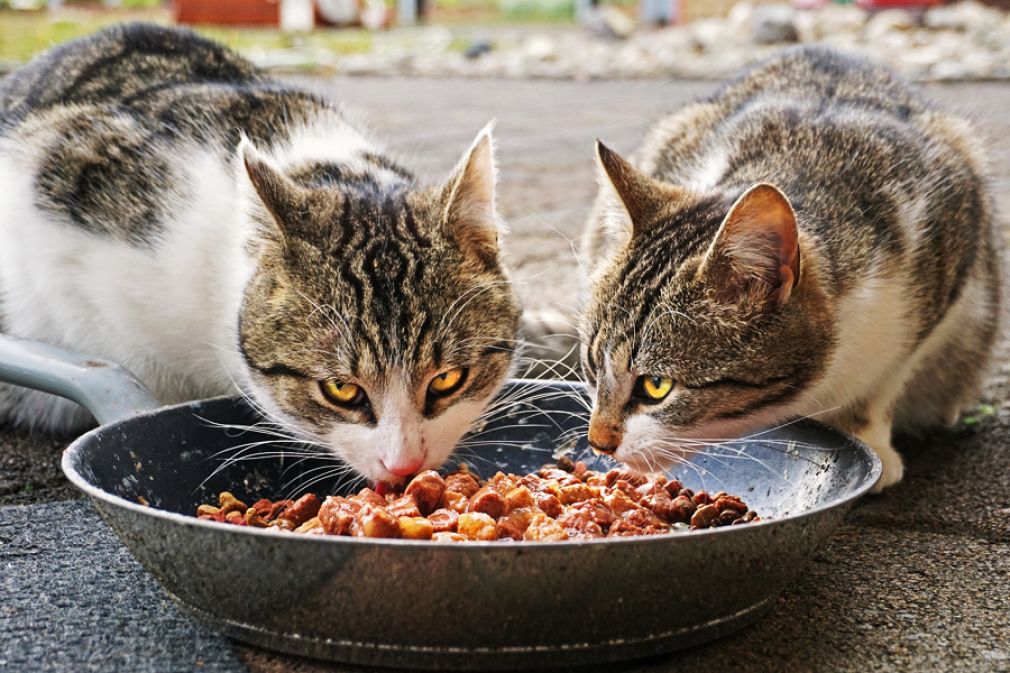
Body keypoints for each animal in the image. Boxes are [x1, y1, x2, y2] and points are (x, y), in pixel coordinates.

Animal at [577, 45, 1001, 487]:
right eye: (592, 365)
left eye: (656, 386)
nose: (598, 442)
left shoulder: (949, 245)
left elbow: (886, 380)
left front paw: (870, 439)